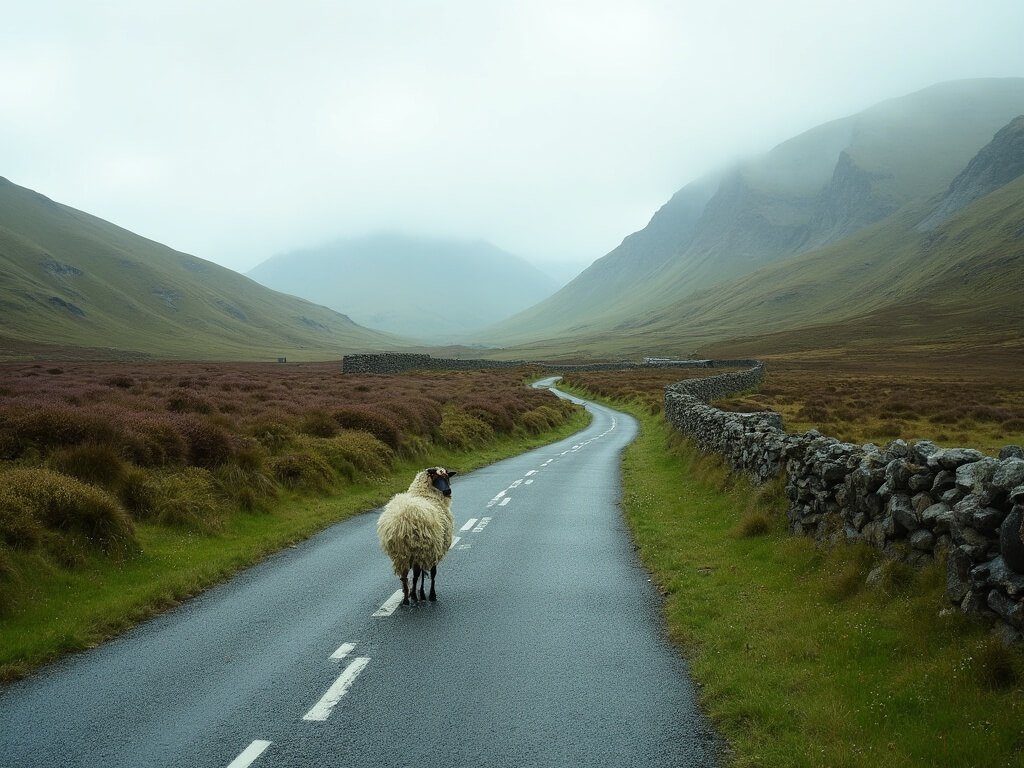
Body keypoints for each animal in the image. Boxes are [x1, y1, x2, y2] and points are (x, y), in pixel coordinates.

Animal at [377, 467, 457, 605]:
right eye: (436, 478)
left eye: (447, 477)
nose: (447, 491)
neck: (425, 494)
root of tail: (403, 520)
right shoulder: (434, 548)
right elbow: (432, 572)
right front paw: (431, 595)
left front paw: (422, 594)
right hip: (418, 548)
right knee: (416, 574)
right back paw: (414, 595)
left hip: (401, 553)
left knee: (404, 575)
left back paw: (406, 597)